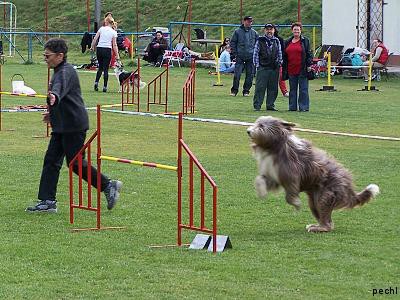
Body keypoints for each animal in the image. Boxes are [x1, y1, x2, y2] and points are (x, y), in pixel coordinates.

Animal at [245, 116, 380, 233]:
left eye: (261, 126)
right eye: (256, 123)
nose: (248, 131)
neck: (275, 146)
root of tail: (349, 188)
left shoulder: (291, 175)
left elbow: (290, 194)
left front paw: (296, 204)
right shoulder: (275, 175)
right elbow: (259, 179)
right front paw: (262, 192)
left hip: (325, 196)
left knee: (327, 223)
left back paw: (318, 228)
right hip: (314, 201)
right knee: (329, 222)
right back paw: (316, 225)